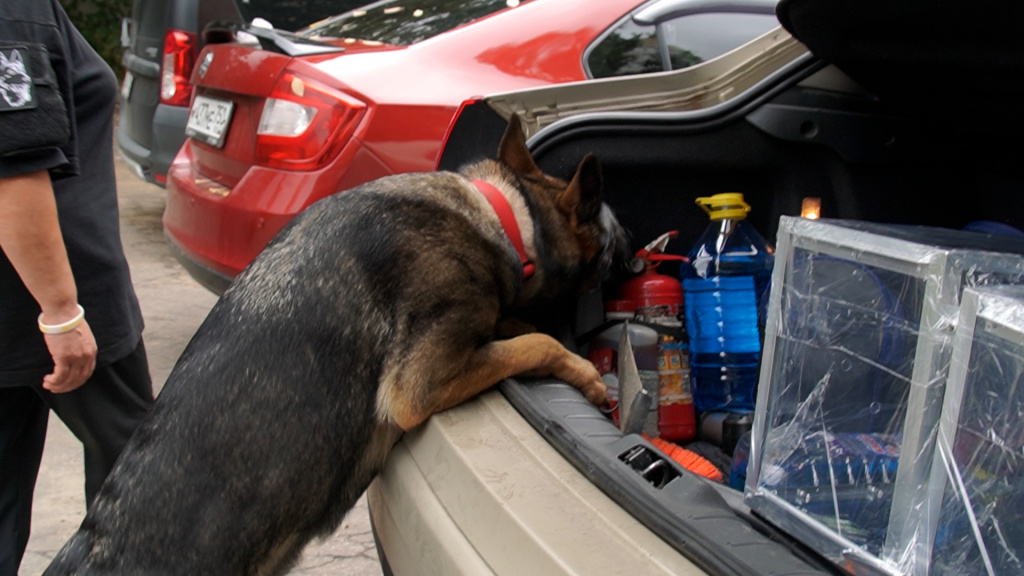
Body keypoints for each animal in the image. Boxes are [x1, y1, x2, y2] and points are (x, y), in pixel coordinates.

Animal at [48, 114, 630, 569]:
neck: (504, 214)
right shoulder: (420, 385)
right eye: (603, 228)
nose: (631, 242)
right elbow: (537, 344)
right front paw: (589, 379)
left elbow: (522, 330)